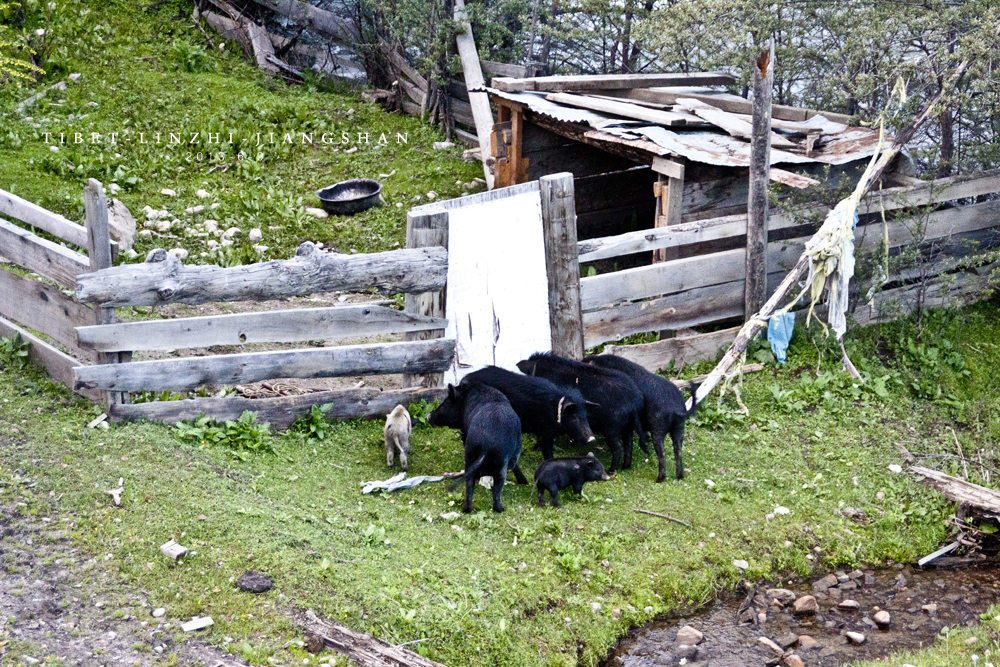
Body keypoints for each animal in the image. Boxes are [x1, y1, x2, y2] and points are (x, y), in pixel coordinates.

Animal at [428, 382, 526, 513]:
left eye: (446, 403)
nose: (428, 416)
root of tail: (487, 444)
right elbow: (515, 465)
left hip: (471, 455)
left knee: (471, 484)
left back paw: (468, 509)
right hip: (500, 465)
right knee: (495, 489)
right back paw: (500, 509)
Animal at [461, 365, 596, 459]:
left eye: (586, 417)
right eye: (574, 417)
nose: (592, 438)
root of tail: (463, 379)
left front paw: (534, 448)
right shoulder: (544, 431)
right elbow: (547, 450)